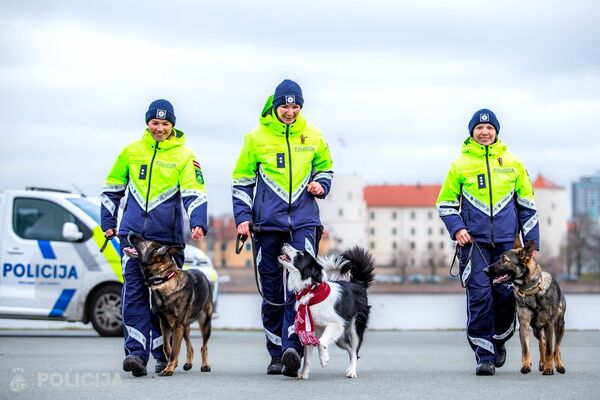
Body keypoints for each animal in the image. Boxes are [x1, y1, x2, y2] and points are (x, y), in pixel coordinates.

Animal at [125, 231, 212, 376]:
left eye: (145, 242)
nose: (130, 232)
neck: (163, 279)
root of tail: (202, 273)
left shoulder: (177, 326)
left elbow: (175, 349)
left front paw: (169, 368)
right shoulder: (165, 324)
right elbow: (167, 346)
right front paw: (171, 363)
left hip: (205, 323)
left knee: (203, 346)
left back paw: (205, 365)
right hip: (185, 327)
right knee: (190, 346)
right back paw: (188, 363)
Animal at [278, 244, 372, 378]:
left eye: (300, 254)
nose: (285, 243)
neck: (311, 290)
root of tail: (358, 283)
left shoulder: (335, 323)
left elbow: (321, 342)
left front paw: (324, 359)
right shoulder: (310, 328)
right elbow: (307, 356)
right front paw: (303, 375)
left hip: (354, 328)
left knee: (354, 351)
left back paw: (352, 371)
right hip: (340, 338)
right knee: (350, 349)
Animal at [486, 241, 564, 376]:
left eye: (504, 260)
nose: (484, 270)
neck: (531, 291)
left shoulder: (549, 325)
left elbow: (550, 349)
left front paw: (549, 368)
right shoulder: (524, 325)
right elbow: (526, 349)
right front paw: (526, 365)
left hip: (559, 326)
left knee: (556, 347)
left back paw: (558, 365)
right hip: (536, 329)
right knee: (542, 342)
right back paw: (542, 363)